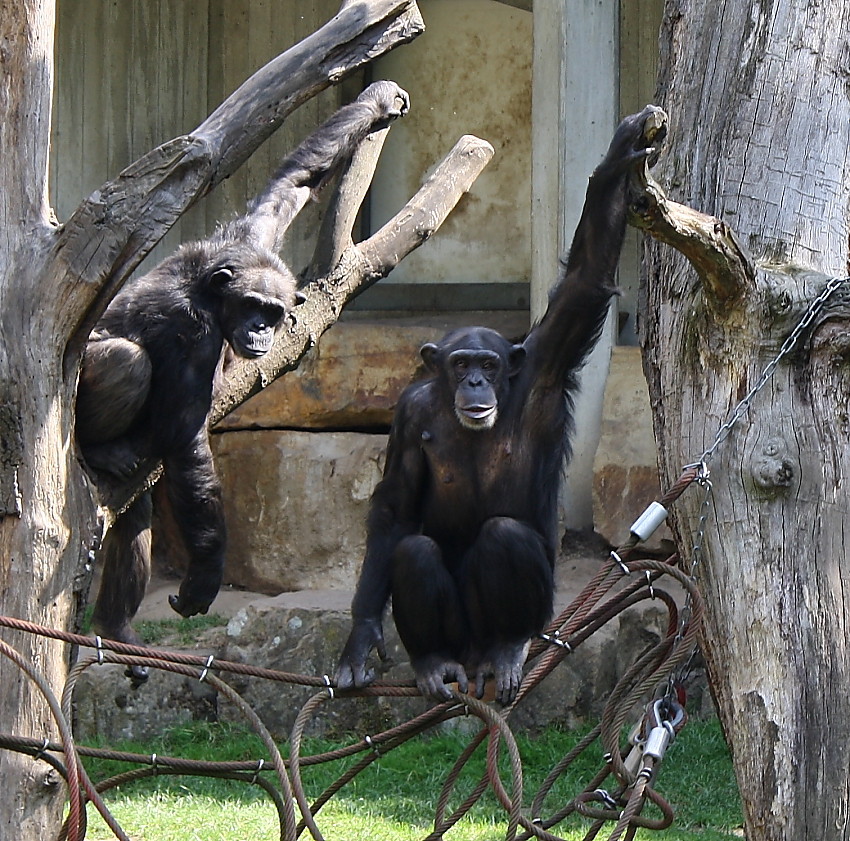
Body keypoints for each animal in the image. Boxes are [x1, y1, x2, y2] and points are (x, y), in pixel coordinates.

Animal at [78, 82, 410, 676]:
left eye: (273, 311)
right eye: (253, 307)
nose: (260, 328)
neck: (213, 291)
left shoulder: (255, 234)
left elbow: (293, 179)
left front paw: (378, 103)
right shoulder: (191, 329)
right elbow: (187, 442)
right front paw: (207, 572)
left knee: (135, 516)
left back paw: (114, 628)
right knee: (124, 359)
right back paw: (99, 449)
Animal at [332, 106, 664, 708]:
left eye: (488, 365)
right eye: (462, 363)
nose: (475, 384)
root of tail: (472, 657)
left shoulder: (546, 362)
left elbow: (585, 277)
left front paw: (620, 153)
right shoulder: (409, 412)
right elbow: (394, 508)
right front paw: (360, 638)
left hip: (521, 620)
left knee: (504, 537)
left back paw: (508, 649)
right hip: (455, 635)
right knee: (412, 551)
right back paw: (433, 662)